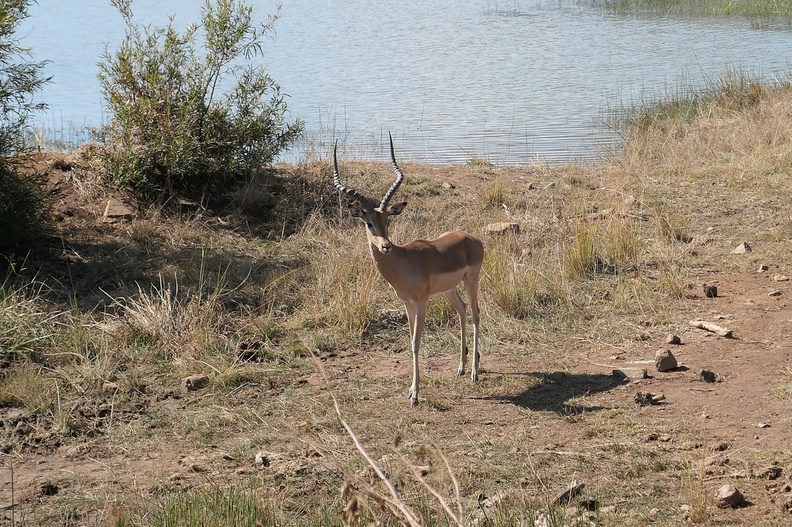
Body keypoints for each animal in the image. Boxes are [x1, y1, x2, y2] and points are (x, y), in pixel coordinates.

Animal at [333, 134, 484, 406]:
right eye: (368, 222)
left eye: (388, 220)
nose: (385, 246)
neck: (404, 262)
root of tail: (473, 238)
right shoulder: (406, 303)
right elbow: (409, 340)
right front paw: (412, 390)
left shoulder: (421, 302)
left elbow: (415, 343)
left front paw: (415, 394)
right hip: (449, 290)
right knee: (463, 311)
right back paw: (461, 367)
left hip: (471, 281)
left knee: (476, 314)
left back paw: (474, 373)